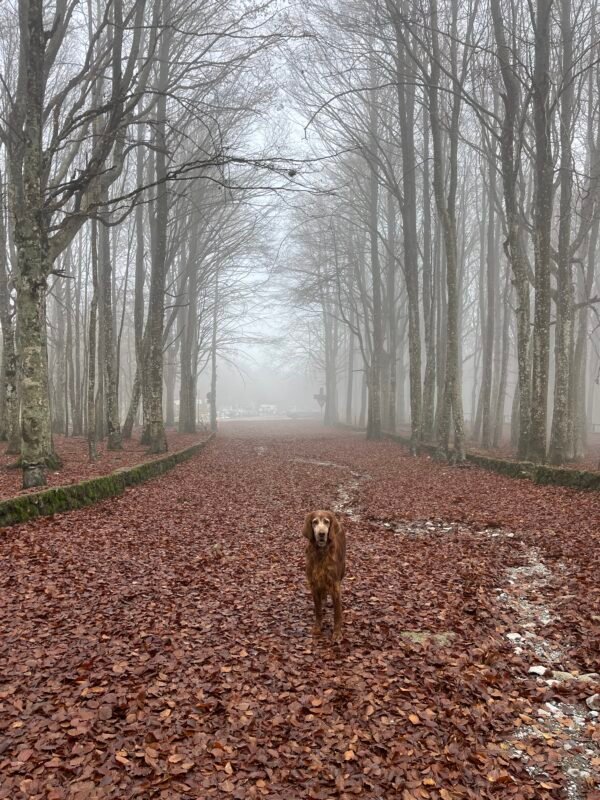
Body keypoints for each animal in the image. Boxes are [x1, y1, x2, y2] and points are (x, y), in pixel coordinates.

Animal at [304, 512, 346, 644]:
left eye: (327, 522)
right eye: (315, 522)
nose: (321, 534)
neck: (321, 553)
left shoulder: (335, 585)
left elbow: (337, 614)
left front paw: (337, 634)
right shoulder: (314, 584)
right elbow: (318, 610)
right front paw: (318, 627)